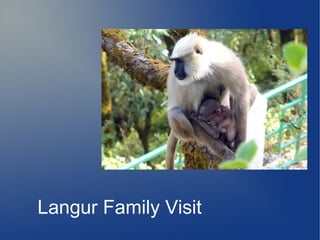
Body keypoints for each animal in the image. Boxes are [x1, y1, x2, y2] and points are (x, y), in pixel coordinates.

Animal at [166, 31, 251, 170]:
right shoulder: (187, 86)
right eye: (175, 61)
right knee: (176, 113)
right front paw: (226, 153)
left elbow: (241, 94)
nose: (175, 71)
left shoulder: (225, 61)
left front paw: (240, 146)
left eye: (179, 61)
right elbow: (190, 115)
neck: (205, 69)